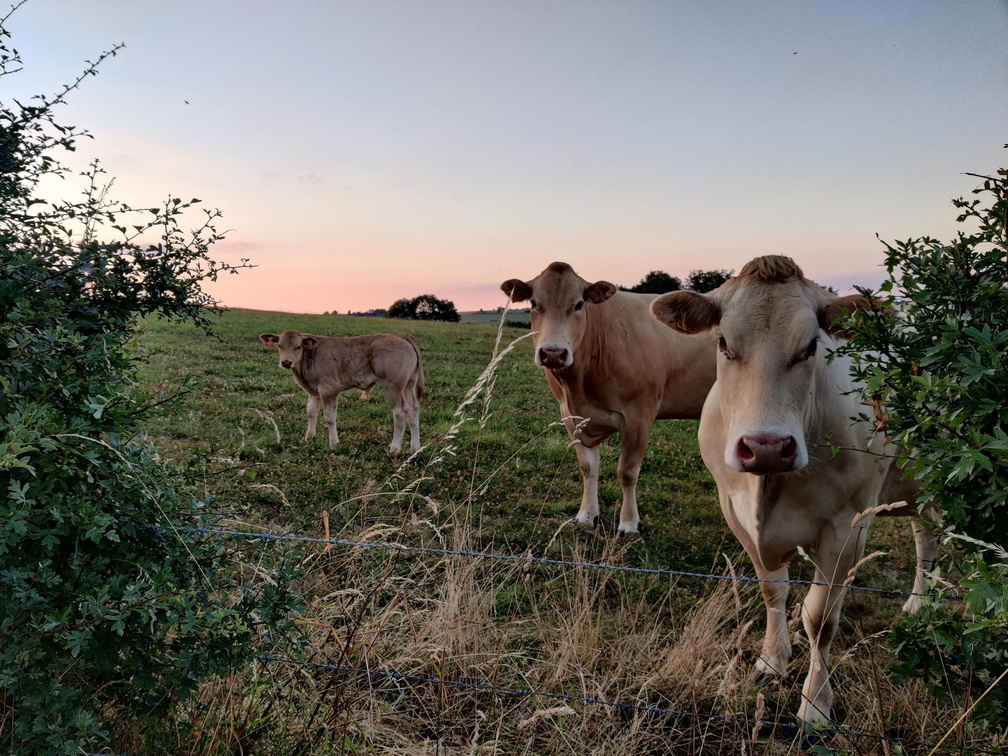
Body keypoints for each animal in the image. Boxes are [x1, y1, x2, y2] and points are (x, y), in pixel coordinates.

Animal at [258, 328, 423, 453]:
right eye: (280, 345)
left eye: (298, 347)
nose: (286, 362)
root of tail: (402, 336)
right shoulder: (314, 392)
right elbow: (311, 412)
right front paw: (309, 438)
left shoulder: (328, 389)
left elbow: (329, 417)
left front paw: (333, 444)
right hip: (408, 386)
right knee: (413, 410)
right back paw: (415, 448)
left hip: (393, 387)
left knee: (400, 413)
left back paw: (394, 448)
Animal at [499, 264, 721, 536]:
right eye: (533, 302)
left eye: (579, 304)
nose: (553, 353)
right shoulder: (571, 417)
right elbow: (588, 468)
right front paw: (586, 515)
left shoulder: (639, 417)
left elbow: (627, 472)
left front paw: (628, 523)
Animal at [649, 256, 939, 729]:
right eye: (723, 342)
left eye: (811, 346)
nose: (766, 446)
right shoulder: (734, 512)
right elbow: (773, 591)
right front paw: (771, 661)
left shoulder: (847, 527)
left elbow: (819, 619)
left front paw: (815, 705)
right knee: (925, 531)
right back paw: (918, 602)